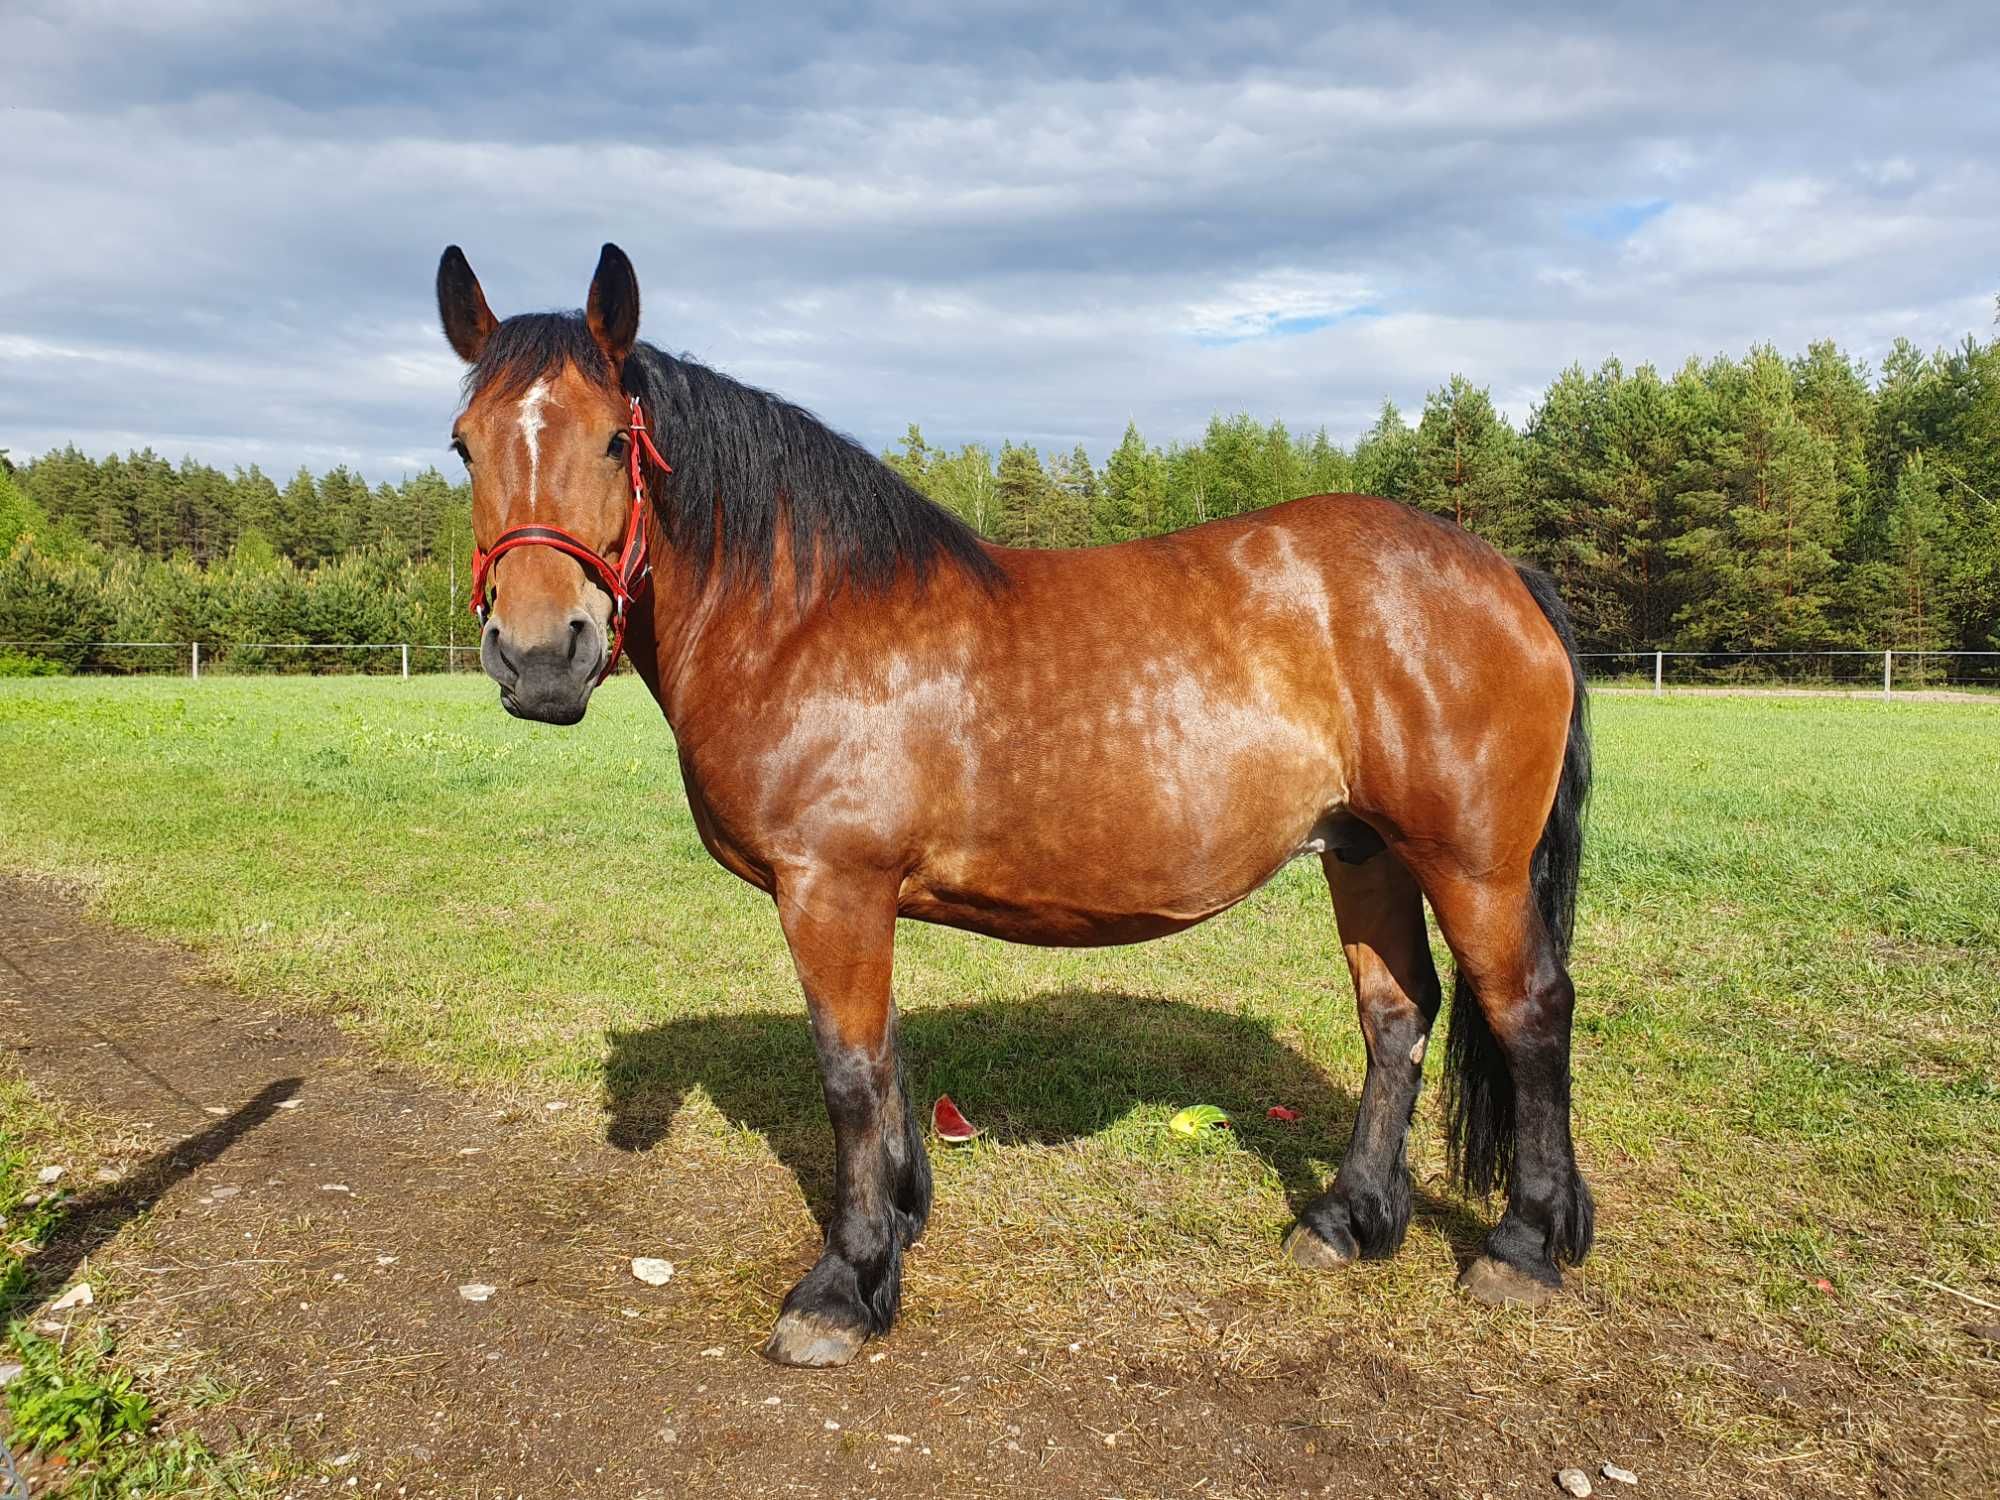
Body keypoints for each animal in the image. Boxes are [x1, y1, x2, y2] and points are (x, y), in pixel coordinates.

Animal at [434, 241, 1592, 1368]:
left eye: (613, 445)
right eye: (463, 446)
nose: (539, 659)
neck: (801, 618)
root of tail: (1500, 571)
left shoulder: (831, 888)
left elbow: (847, 1074)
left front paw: (843, 1286)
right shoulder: (857, 898)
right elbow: (884, 1061)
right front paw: (899, 1223)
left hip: (1470, 864)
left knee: (1528, 1009)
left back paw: (1523, 1247)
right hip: (1365, 851)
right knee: (1396, 1016)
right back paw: (1347, 1221)